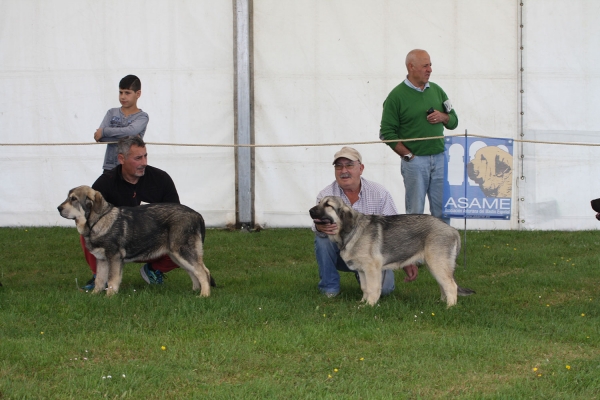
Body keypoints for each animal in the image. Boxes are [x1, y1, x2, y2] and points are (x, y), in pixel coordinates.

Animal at [58, 185, 213, 296]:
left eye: (73, 199)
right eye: (68, 198)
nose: (58, 208)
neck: (98, 220)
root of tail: (198, 215)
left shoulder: (114, 257)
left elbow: (112, 279)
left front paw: (109, 296)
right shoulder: (102, 260)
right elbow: (100, 280)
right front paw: (94, 295)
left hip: (182, 252)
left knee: (203, 272)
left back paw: (204, 295)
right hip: (177, 256)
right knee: (194, 272)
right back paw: (194, 291)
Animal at [310, 196, 474, 306]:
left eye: (328, 205)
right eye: (319, 202)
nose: (310, 210)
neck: (352, 230)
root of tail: (452, 229)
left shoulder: (371, 269)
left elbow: (373, 288)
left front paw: (369, 305)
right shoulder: (362, 271)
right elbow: (365, 288)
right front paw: (362, 302)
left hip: (438, 264)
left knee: (451, 286)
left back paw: (449, 307)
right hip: (435, 266)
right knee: (444, 286)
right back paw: (442, 303)